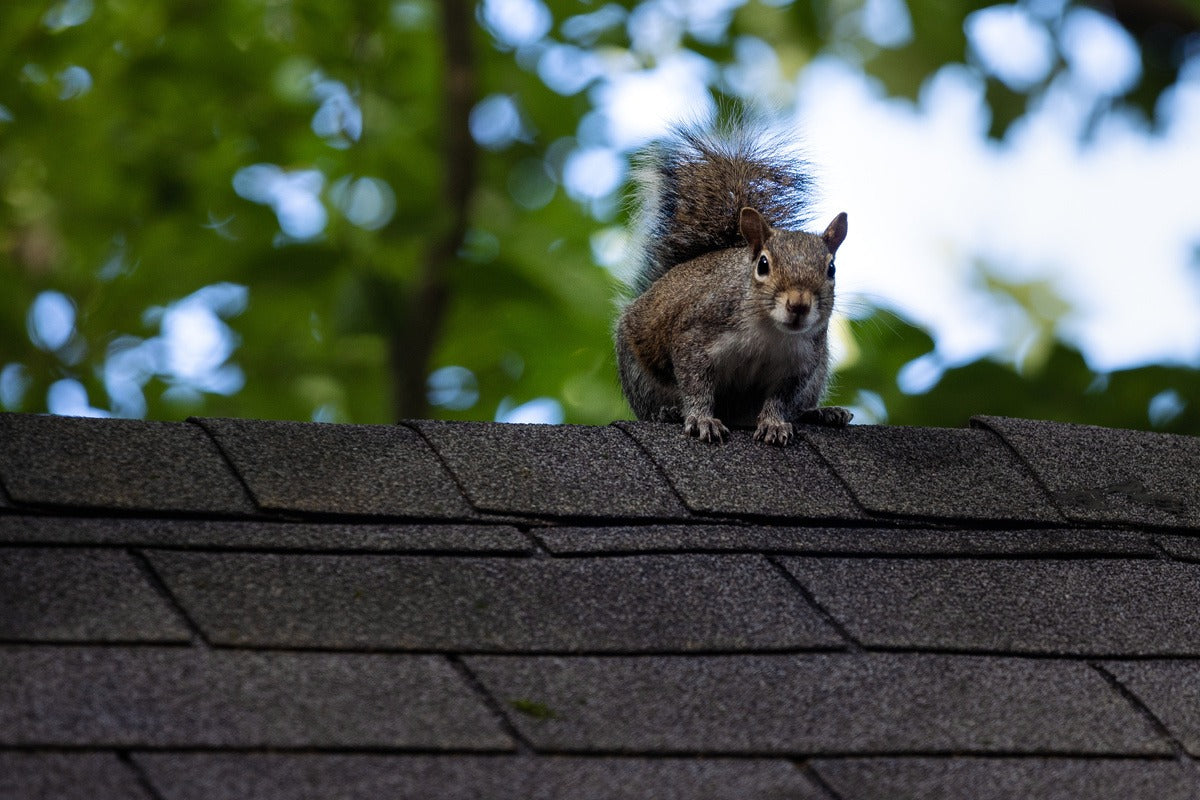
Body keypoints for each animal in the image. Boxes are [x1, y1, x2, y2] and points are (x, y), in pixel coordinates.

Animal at [614, 122, 852, 445]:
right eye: (763, 265)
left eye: (831, 269)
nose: (799, 304)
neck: (769, 331)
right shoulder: (696, 334)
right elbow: (695, 384)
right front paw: (701, 419)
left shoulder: (801, 365)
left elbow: (780, 400)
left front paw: (774, 423)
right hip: (638, 374)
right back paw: (668, 412)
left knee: (799, 406)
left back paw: (821, 413)